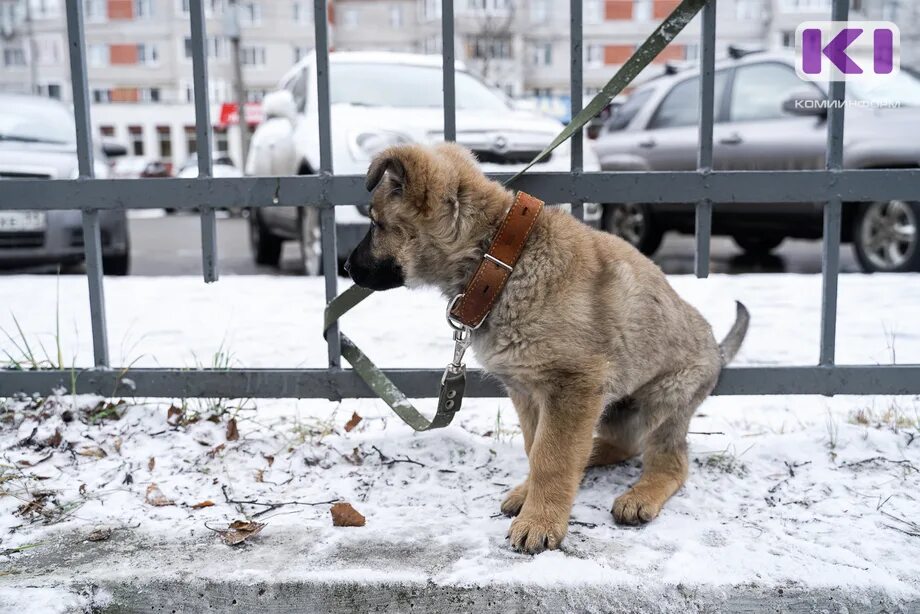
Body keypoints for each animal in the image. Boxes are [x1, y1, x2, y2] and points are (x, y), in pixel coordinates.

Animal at [344, 146, 748, 560]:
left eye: (375, 223)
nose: (345, 267)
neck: (499, 262)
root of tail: (718, 352)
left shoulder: (572, 387)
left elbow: (552, 457)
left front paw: (540, 522)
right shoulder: (527, 390)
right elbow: (535, 446)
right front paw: (531, 496)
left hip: (664, 397)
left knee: (670, 462)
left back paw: (640, 495)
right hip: (614, 406)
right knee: (619, 443)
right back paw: (590, 457)